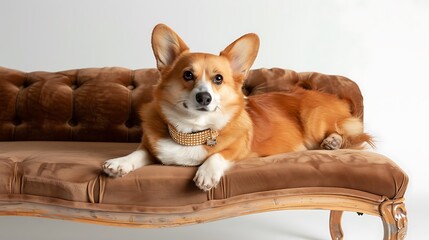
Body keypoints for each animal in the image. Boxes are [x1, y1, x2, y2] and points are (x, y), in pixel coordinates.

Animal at [103, 24, 372, 191]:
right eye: (188, 75)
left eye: (218, 79)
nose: (204, 98)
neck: (193, 131)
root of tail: (334, 97)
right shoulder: (151, 147)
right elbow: (138, 153)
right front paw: (119, 163)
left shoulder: (240, 149)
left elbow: (219, 154)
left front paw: (206, 173)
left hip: (314, 119)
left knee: (346, 134)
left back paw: (332, 142)